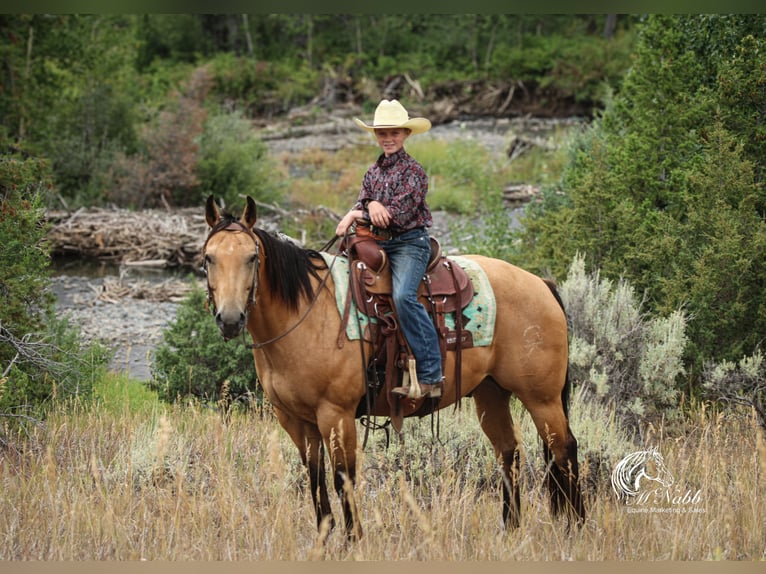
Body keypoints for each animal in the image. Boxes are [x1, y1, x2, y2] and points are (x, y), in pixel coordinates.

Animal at [202, 195, 585, 539]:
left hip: (541, 397)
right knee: (509, 453)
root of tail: (541, 284)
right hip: (491, 394)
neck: (306, 313)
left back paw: (575, 527)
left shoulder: (336, 414)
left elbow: (343, 478)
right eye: (208, 258)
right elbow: (315, 481)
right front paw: (325, 542)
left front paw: (353, 542)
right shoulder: (295, 421)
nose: (230, 319)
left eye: (252, 257)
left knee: (564, 450)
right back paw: (510, 529)